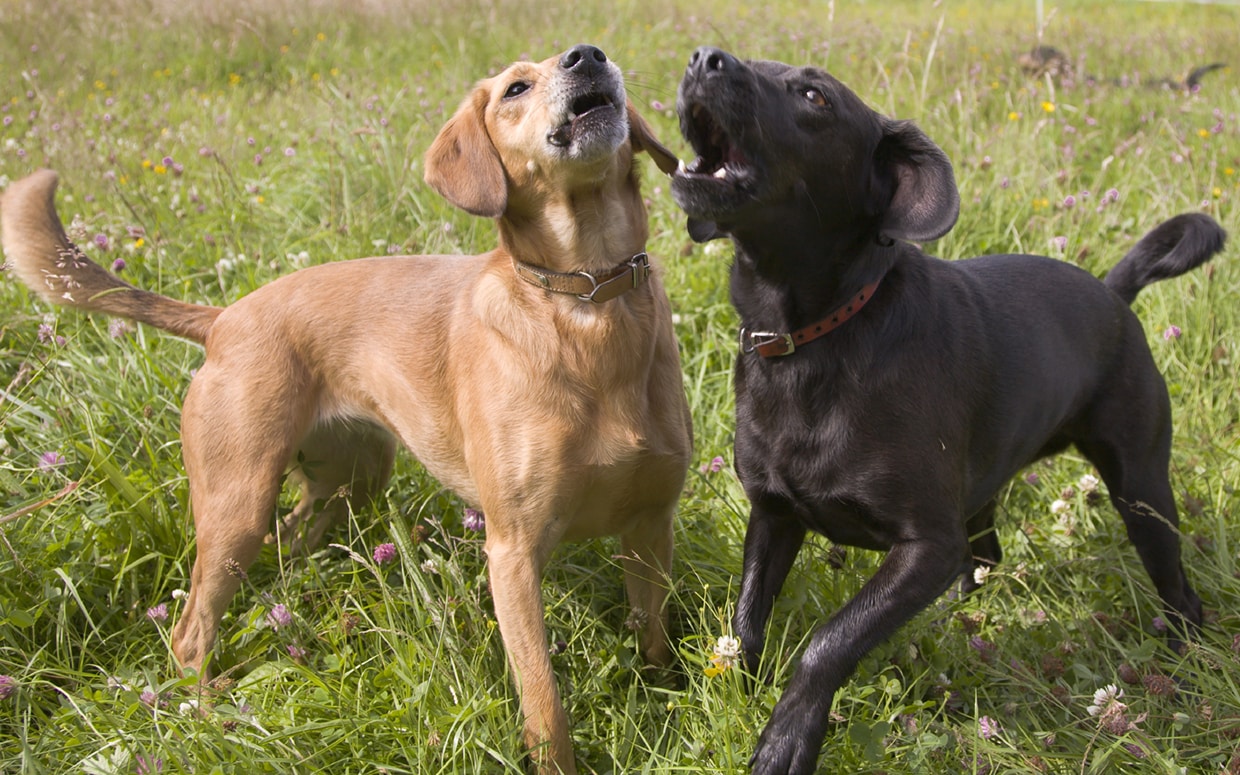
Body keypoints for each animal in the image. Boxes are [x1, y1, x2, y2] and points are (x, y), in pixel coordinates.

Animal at [674, 48, 1225, 773]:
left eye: (816, 97)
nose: (703, 59)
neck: (812, 339)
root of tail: (1114, 294)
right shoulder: (773, 518)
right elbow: (746, 622)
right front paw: (740, 695)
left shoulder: (926, 548)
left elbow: (829, 639)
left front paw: (786, 738)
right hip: (987, 492)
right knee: (986, 553)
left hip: (1142, 493)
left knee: (1181, 595)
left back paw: (1184, 675)